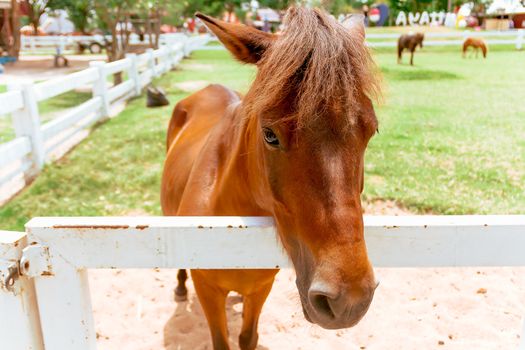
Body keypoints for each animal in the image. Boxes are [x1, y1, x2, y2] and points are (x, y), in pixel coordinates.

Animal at [162, 8, 378, 350]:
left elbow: (248, 337)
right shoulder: (208, 290)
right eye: (269, 134)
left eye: (372, 130)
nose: (349, 300)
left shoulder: (261, 288)